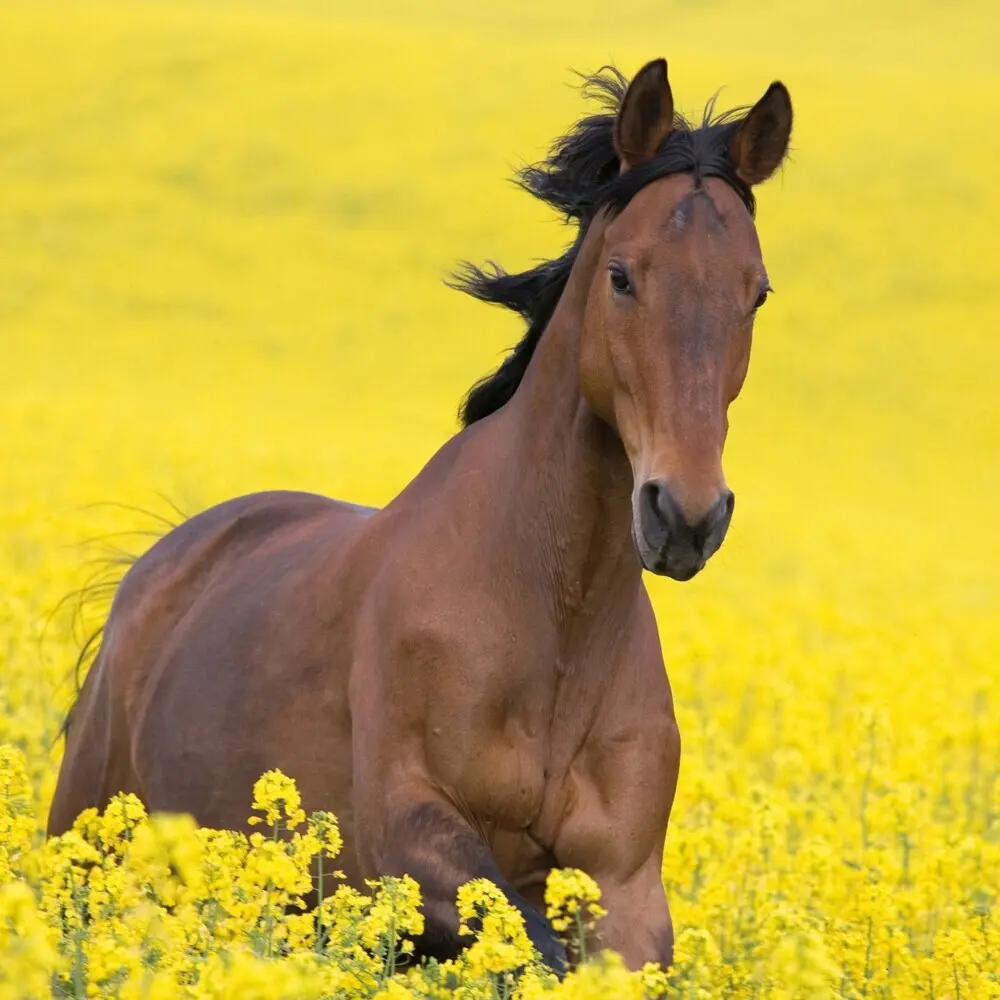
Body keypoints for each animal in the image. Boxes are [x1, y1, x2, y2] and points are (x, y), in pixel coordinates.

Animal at [48, 59, 792, 972]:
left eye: (755, 294)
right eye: (623, 275)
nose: (685, 517)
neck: (555, 620)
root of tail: (157, 568)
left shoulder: (624, 886)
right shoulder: (407, 840)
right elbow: (531, 948)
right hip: (86, 860)